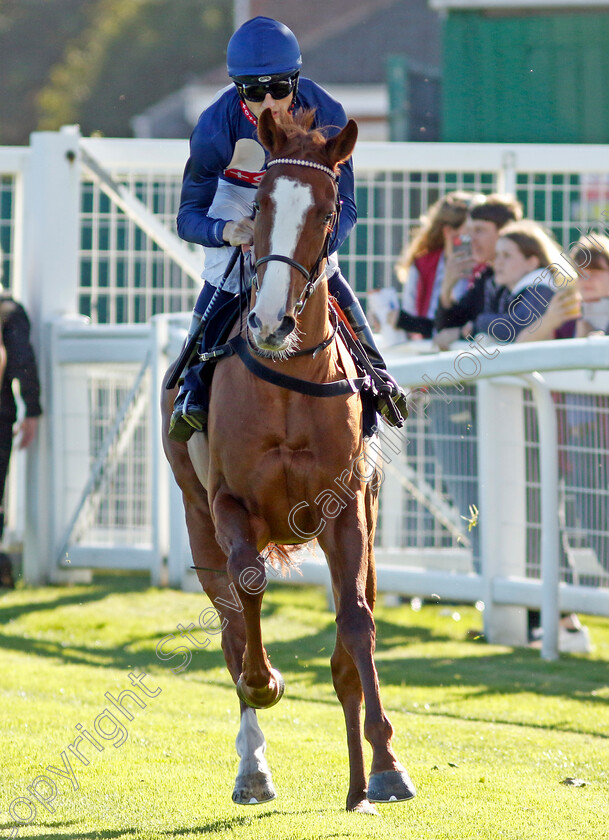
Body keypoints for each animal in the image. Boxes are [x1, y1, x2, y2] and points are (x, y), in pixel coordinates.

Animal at [159, 108, 416, 812]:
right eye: (261, 205)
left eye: (327, 210)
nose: (270, 321)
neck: (288, 378)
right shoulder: (229, 504)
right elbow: (249, 593)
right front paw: (265, 682)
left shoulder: (347, 507)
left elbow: (356, 623)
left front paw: (385, 765)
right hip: (197, 523)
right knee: (228, 624)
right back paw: (253, 766)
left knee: (357, 623)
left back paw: (358, 783)